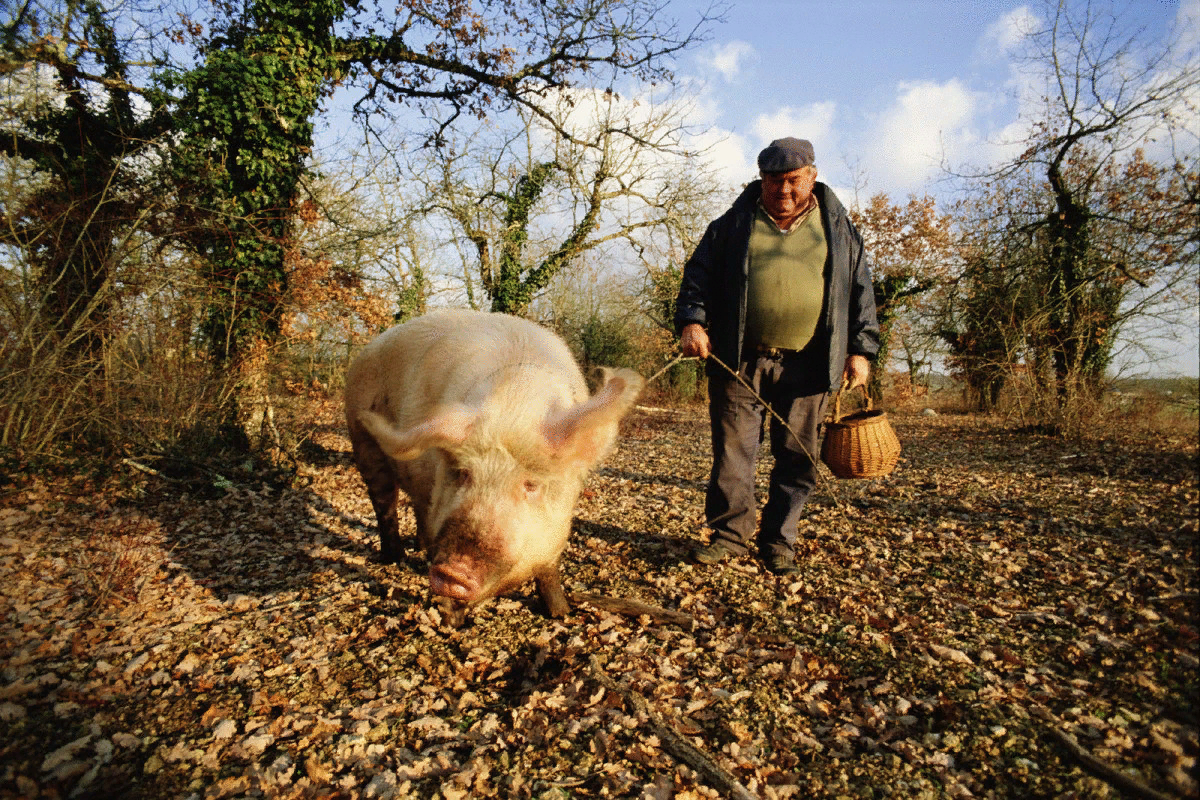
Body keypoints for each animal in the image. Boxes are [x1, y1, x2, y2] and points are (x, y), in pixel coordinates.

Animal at [345, 309, 648, 623]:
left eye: (531, 485)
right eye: (463, 474)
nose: (453, 571)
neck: (514, 406)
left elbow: (548, 571)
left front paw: (561, 614)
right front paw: (452, 623)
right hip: (363, 442)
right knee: (385, 505)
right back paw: (395, 558)